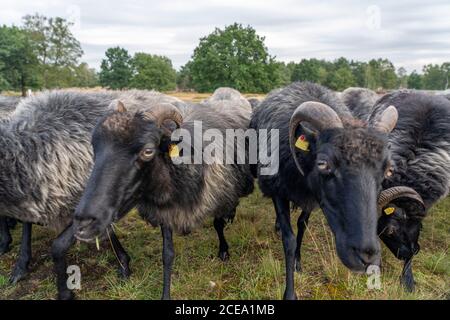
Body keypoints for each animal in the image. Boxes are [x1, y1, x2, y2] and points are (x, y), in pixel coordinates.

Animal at [48, 86, 255, 298]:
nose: (83, 222)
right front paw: (165, 294)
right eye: (94, 147)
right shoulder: (166, 211)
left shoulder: (223, 194)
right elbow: (168, 254)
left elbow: (218, 224)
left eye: (148, 151)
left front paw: (224, 251)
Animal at [250, 81, 400, 298]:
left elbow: (302, 224)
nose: (366, 256)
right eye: (323, 164)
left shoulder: (313, 198)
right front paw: (290, 293)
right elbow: (289, 240)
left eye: (388, 169)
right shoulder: (277, 190)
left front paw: (298, 262)